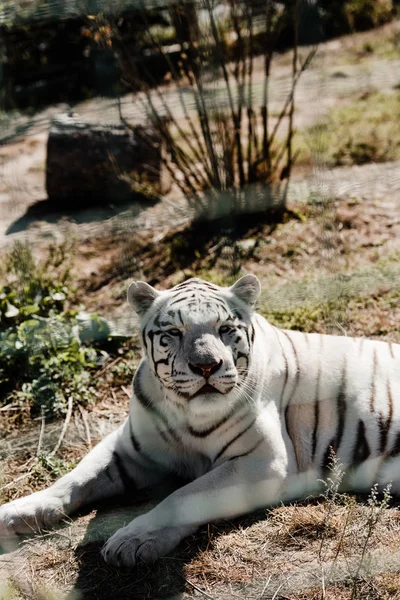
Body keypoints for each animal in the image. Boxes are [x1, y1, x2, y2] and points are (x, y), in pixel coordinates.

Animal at [0, 276, 400, 568]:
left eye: (225, 329)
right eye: (173, 333)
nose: (206, 365)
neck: (184, 411)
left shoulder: (262, 461)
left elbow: (183, 497)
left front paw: (132, 539)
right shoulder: (129, 446)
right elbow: (76, 478)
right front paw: (16, 512)